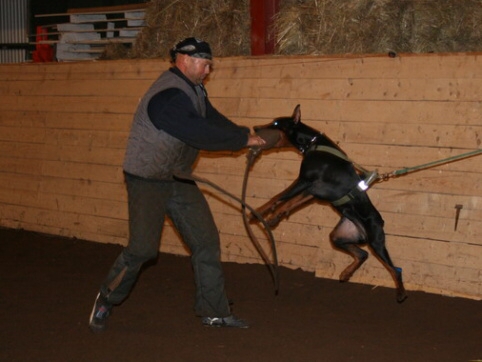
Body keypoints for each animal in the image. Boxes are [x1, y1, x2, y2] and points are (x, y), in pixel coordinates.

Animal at [252, 104, 406, 302]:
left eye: (276, 123)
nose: (255, 128)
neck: (313, 143)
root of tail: (380, 222)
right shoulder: (312, 191)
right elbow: (291, 202)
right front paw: (274, 216)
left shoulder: (305, 181)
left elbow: (281, 197)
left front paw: (261, 212)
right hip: (340, 236)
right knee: (362, 254)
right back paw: (346, 273)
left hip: (376, 241)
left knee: (395, 270)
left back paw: (401, 293)